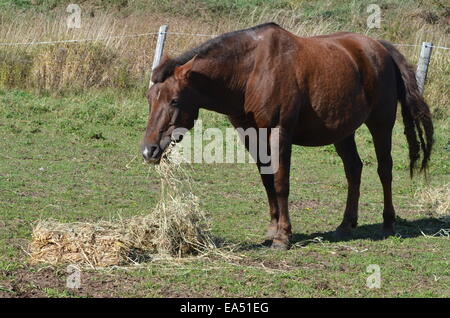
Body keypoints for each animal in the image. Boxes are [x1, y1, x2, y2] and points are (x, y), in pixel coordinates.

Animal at [142, 23, 434, 250]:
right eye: (149, 98)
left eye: (175, 100)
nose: (149, 150)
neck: (251, 71)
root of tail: (379, 48)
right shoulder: (251, 134)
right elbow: (267, 180)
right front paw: (272, 230)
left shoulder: (279, 131)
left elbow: (281, 181)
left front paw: (283, 236)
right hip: (343, 131)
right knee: (354, 170)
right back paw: (345, 225)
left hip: (381, 123)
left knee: (385, 169)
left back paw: (388, 223)